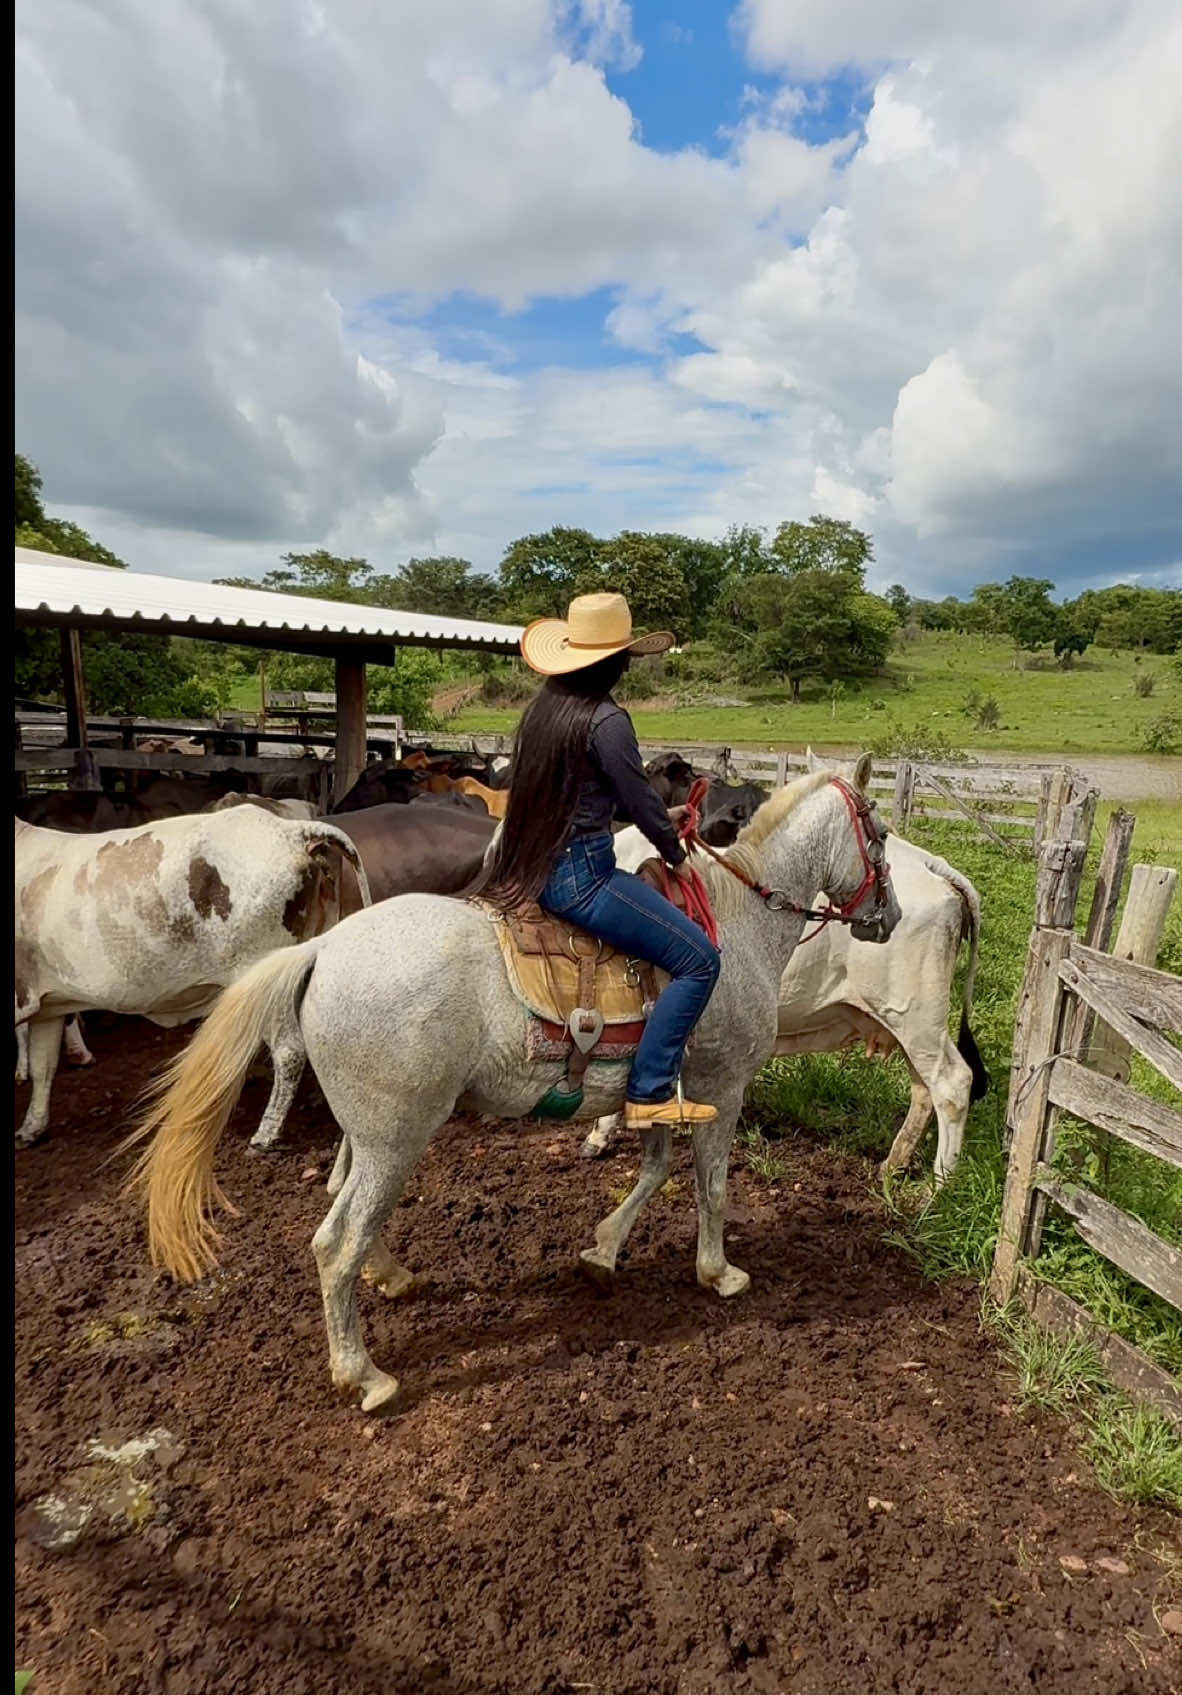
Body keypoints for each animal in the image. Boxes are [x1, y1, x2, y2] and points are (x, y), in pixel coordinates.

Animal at [13, 806, 369, 1152]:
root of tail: (290, 830)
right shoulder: (47, 1008)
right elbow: (43, 1067)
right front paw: (31, 1129)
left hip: (261, 976)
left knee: (289, 1050)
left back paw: (265, 1135)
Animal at [128, 762, 902, 1410]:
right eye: (881, 834)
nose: (888, 917)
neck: (736, 925)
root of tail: (324, 946)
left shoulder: (662, 1087)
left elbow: (656, 1169)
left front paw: (603, 1250)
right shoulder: (725, 1083)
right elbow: (710, 1186)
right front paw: (719, 1271)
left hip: (369, 1136)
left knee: (343, 1202)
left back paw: (392, 1277)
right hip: (397, 1141)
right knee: (334, 1245)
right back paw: (364, 1373)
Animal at [583, 813, 983, 1186]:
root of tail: (928, 862)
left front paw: (600, 1134)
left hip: (914, 1014)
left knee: (951, 1084)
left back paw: (936, 1190)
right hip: (909, 1025)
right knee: (924, 1088)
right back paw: (892, 1165)